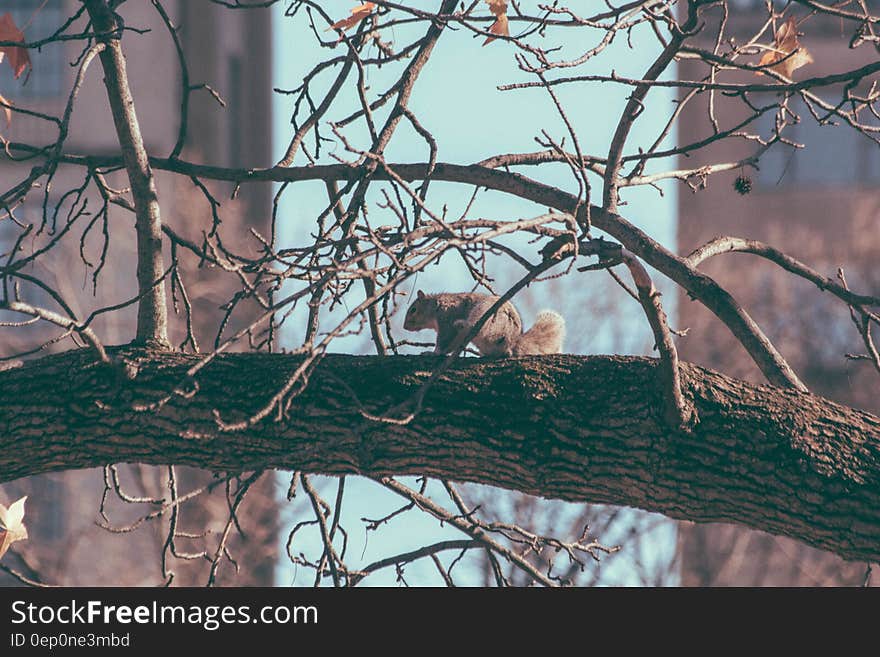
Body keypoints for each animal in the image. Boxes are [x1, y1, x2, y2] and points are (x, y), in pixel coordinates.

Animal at [404, 290, 568, 356]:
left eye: (413, 309)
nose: (405, 327)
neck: (436, 306)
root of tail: (512, 341)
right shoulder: (455, 335)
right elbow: (451, 345)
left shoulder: (447, 318)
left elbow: (444, 341)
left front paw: (432, 353)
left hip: (487, 313)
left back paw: (463, 324)